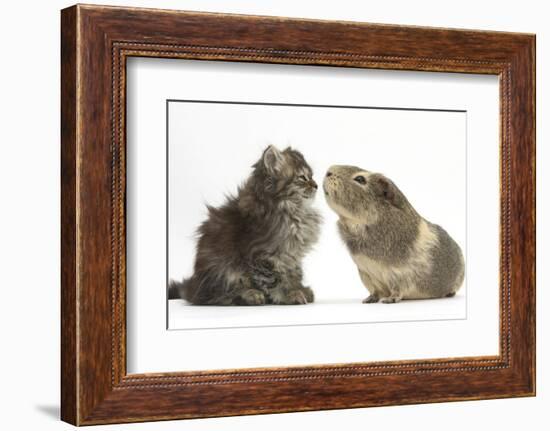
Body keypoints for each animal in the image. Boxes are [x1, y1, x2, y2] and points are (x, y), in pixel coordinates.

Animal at [169, 146, 324, 308]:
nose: (316, 185)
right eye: (303, 178)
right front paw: (287, 296)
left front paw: (298, 289)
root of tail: (192, 287)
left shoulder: (291, 257)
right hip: (223, 272)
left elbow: (294, 275)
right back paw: (250, 295)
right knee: (219, 296)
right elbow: (274, 280)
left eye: (311, 176)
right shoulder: (263, 256)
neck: (291, 210)